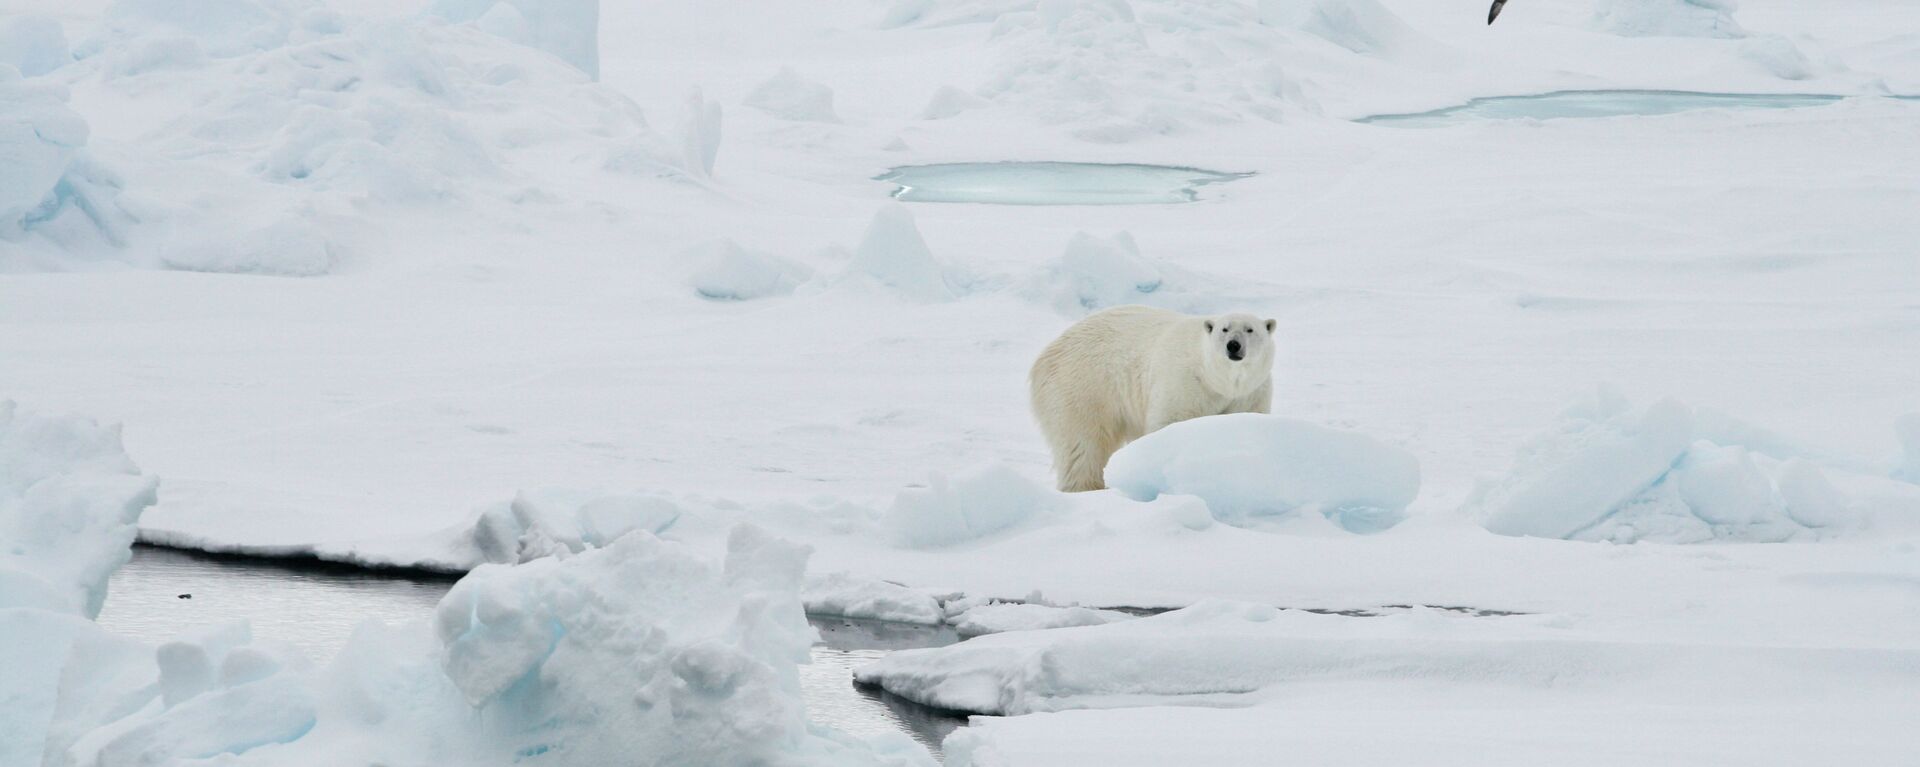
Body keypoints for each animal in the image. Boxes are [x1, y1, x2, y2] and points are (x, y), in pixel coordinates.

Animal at [1029, 305, 1282, 492]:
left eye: (1250, 329)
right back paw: (1088, 487)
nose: (1234, 346)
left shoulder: (1251, 393)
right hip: (1083, 387)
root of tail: (1046, 354)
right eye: (1224, 329)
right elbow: (1170, 423)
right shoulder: (1184, 383)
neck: (1215, 379)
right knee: (1083, 443)